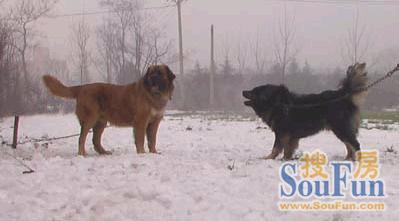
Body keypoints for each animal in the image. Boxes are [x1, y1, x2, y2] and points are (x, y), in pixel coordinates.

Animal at [43, 64, 176, 156]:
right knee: (82, 138)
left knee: (95, 140)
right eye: (150, 74)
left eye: (159, 73)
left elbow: (152, 140)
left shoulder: (154, 123)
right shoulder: (141, 121)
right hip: (90, 118)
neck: (153, 95)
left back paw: (104, 152)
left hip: (101, 122)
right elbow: (140, 139)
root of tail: (82, 87)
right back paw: (82, 153)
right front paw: (142, 153)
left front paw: (154, 152)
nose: (152, 78)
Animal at [242, 63, 370, 160]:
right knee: (349, 144)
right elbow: (288, 150)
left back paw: (357, 160)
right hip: (340, 129)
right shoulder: (290, 136)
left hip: (341, 127)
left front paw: (269, 158)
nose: (243, 91)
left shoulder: (282, 133)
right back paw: (348, 158)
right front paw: (286, 159)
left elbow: (276, 148)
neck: (277, 103)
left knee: (354, 144)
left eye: (254, 91)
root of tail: (343, 95)